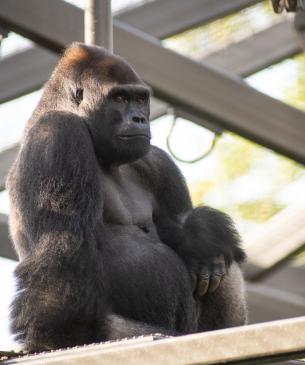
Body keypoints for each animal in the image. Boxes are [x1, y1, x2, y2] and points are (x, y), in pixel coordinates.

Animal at [6, 43, 245, 352]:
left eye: (140, 99)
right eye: (119, 98)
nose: (140, 119)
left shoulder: (157, 161)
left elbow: (179, 227)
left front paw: (202, 234)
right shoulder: (57, 132)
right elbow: (62, 251)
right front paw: (57, 336)